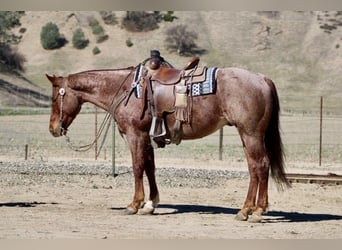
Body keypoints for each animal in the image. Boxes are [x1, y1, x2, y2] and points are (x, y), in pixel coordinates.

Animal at [46, 54, 290, 223]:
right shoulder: (147, 138)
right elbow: (150, 168)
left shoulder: (135, 136)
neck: (126, 90)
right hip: (247, 135)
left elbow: (137, 167)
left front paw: (134, 204)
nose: (53, 129)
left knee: (261, 166)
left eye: (54, 98)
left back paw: (256, 211)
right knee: (254, 168)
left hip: (251, 134)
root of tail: (263, 79)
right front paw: (150, 204)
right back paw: (247, 209)